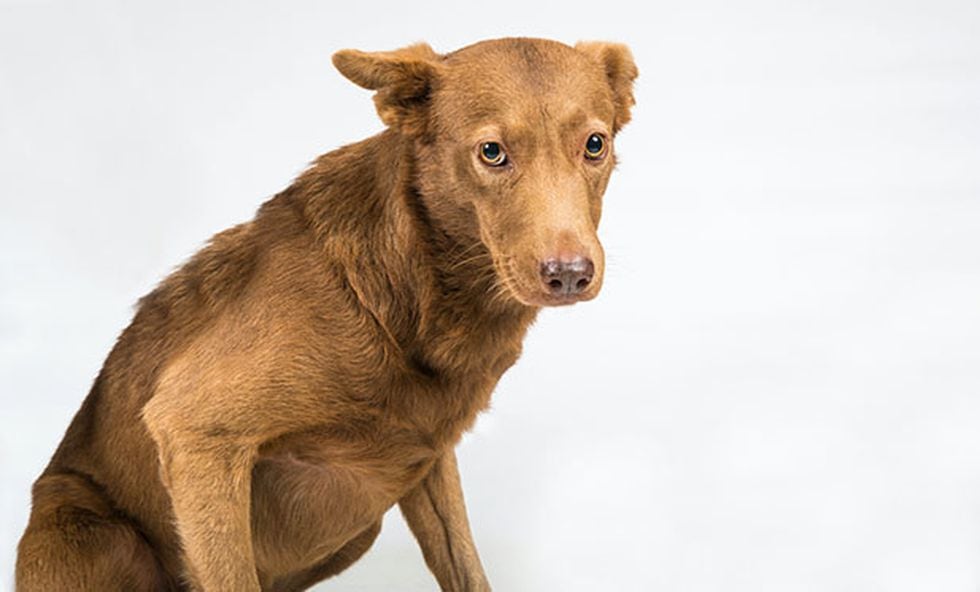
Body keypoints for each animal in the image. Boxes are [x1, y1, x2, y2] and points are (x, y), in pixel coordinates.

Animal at [19, 38, 640, 592]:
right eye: (491, 152)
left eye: (594, 144)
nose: (569, 274)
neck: (416, 288)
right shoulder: (194, 430)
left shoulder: (430, 456)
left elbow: (466, 567)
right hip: (97, 533)